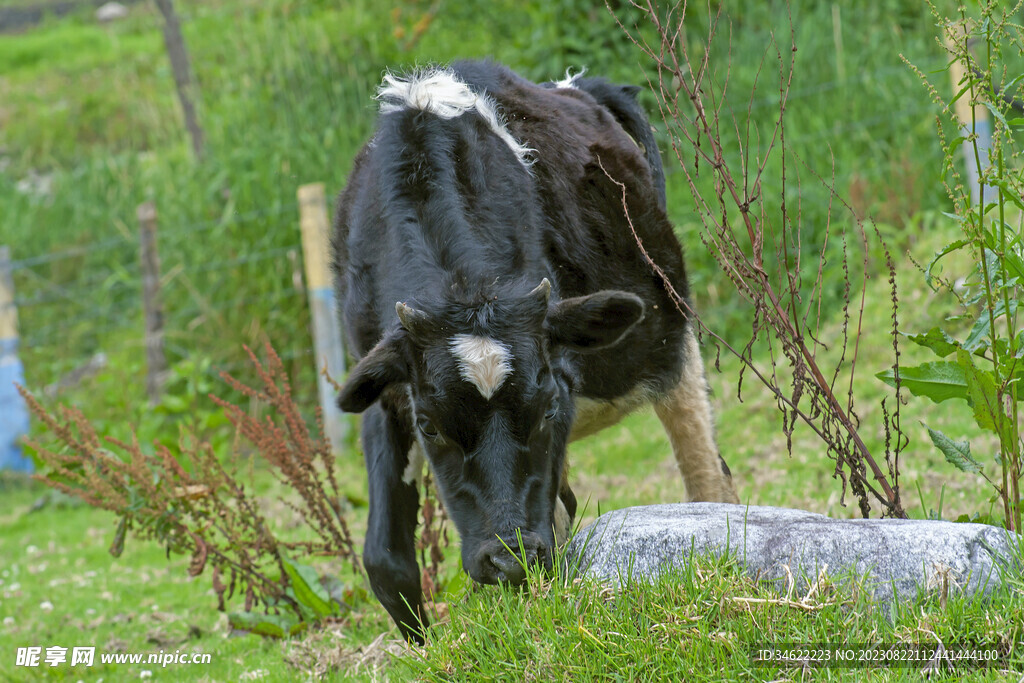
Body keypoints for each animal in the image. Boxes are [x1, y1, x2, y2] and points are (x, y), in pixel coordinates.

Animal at [331, 61, 741, 643]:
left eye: (547, 408)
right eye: (429, 425)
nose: (509, 558)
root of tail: (577, 86)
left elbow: (559, 528)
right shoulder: (384, 389)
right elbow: (386, 561)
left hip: (674, 338)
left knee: (708, 478)